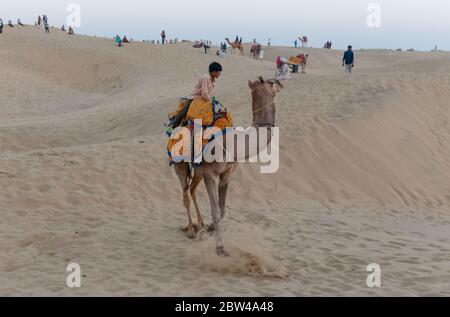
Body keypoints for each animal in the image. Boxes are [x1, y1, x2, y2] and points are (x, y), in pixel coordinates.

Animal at [172, 78, 282, 256]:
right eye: (271, 82)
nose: (281, 82)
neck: (234, 144)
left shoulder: (226, 174)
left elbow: (222, 209)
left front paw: (210, 228)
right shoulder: (210, 174)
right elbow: (216, 211)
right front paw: (220, 247)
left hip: (198, 171)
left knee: (192, 189)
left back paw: (201, 224)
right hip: (179, 165)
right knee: (185, 194)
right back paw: (191, 230)